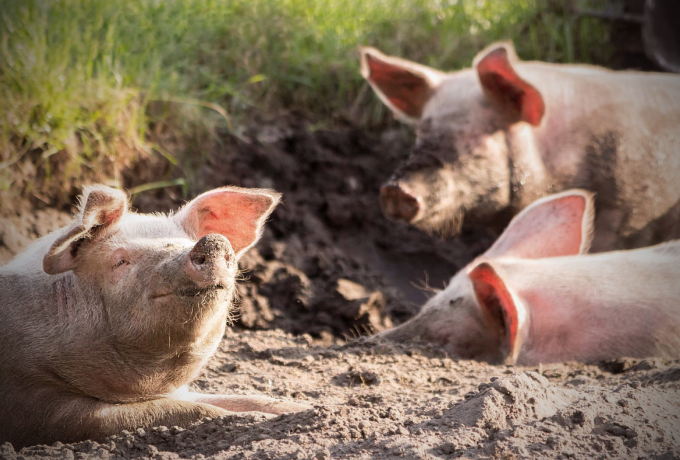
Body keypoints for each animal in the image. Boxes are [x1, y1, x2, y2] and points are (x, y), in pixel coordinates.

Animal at [0, 184, 308, 450]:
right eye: (120, 261)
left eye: (186, 242)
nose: (212, 242)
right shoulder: (39, 407)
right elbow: (179, 411)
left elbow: (250, 399)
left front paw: (304, 410)